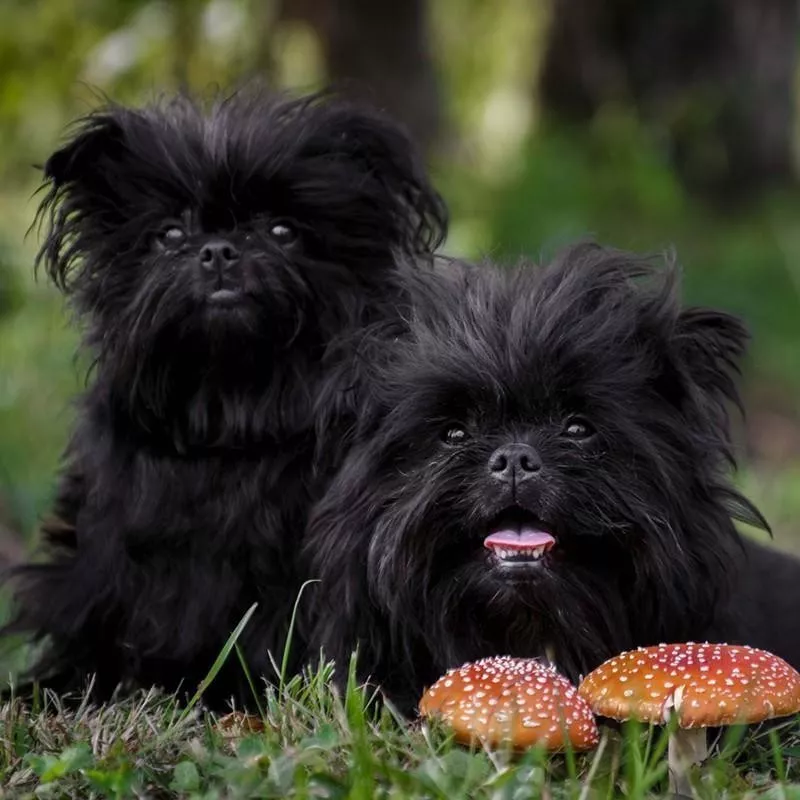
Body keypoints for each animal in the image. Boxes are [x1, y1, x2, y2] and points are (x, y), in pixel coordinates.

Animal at [3, 89, 446, 708]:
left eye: (282, 231)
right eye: (170, 235)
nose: (218, 250)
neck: (232, 410)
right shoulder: (103, 555)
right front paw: (57, 688)